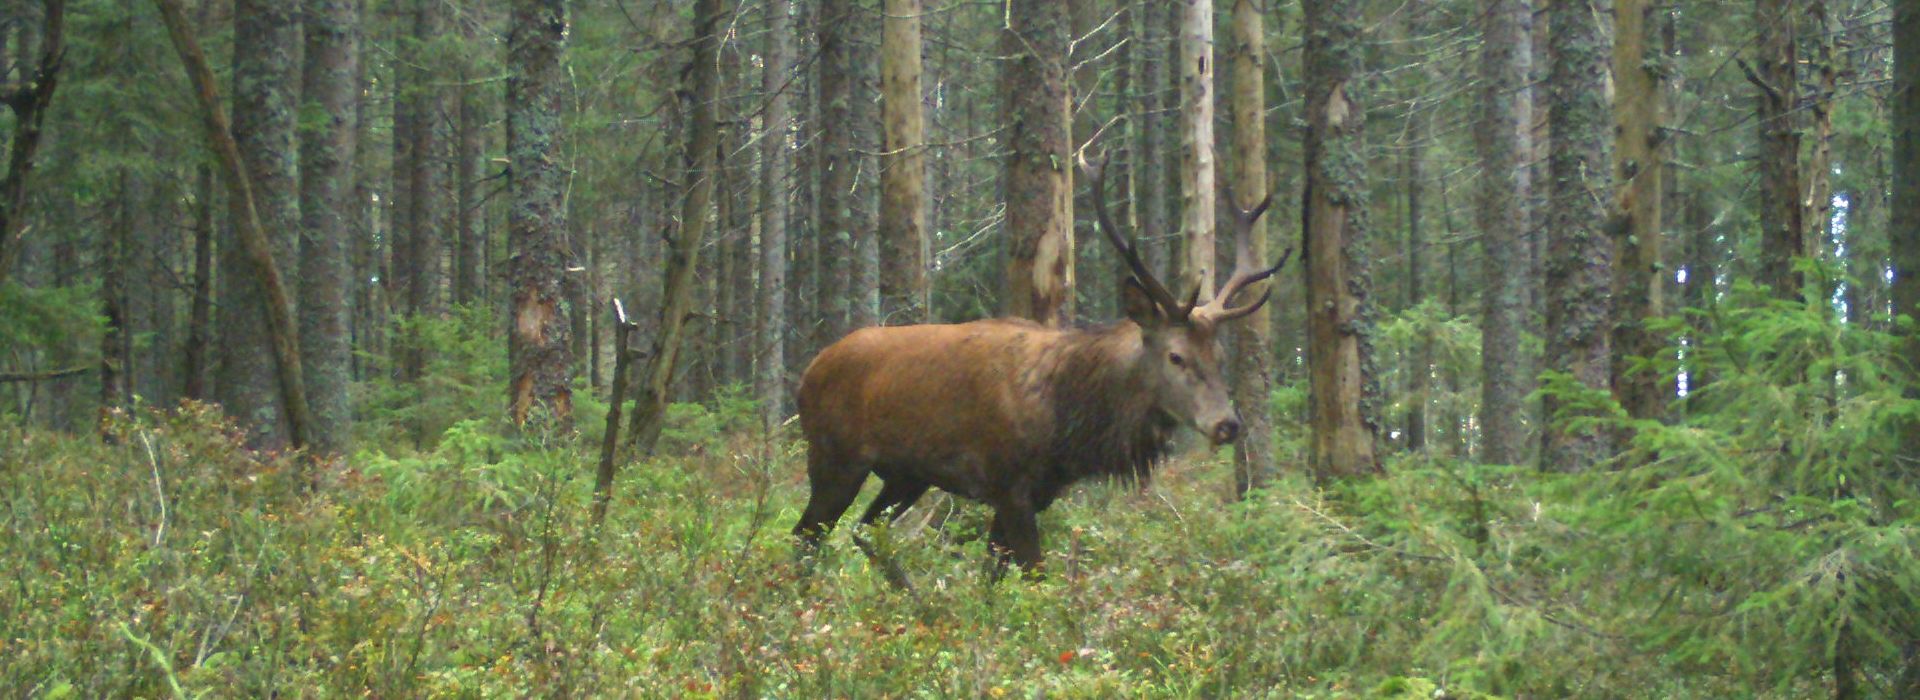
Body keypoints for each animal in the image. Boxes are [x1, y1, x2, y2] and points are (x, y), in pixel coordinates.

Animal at [794, 154, 1290, 583]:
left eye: (1220, 357)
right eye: (1176, 356)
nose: (1227, 424)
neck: (1066, 424)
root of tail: (808, 371)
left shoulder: (1039, 492)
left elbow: (994, 579)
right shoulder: (1008, 484)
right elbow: (1034, 577)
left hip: (905, 476)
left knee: (863, 530)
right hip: (834, 457)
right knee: (805, 537)